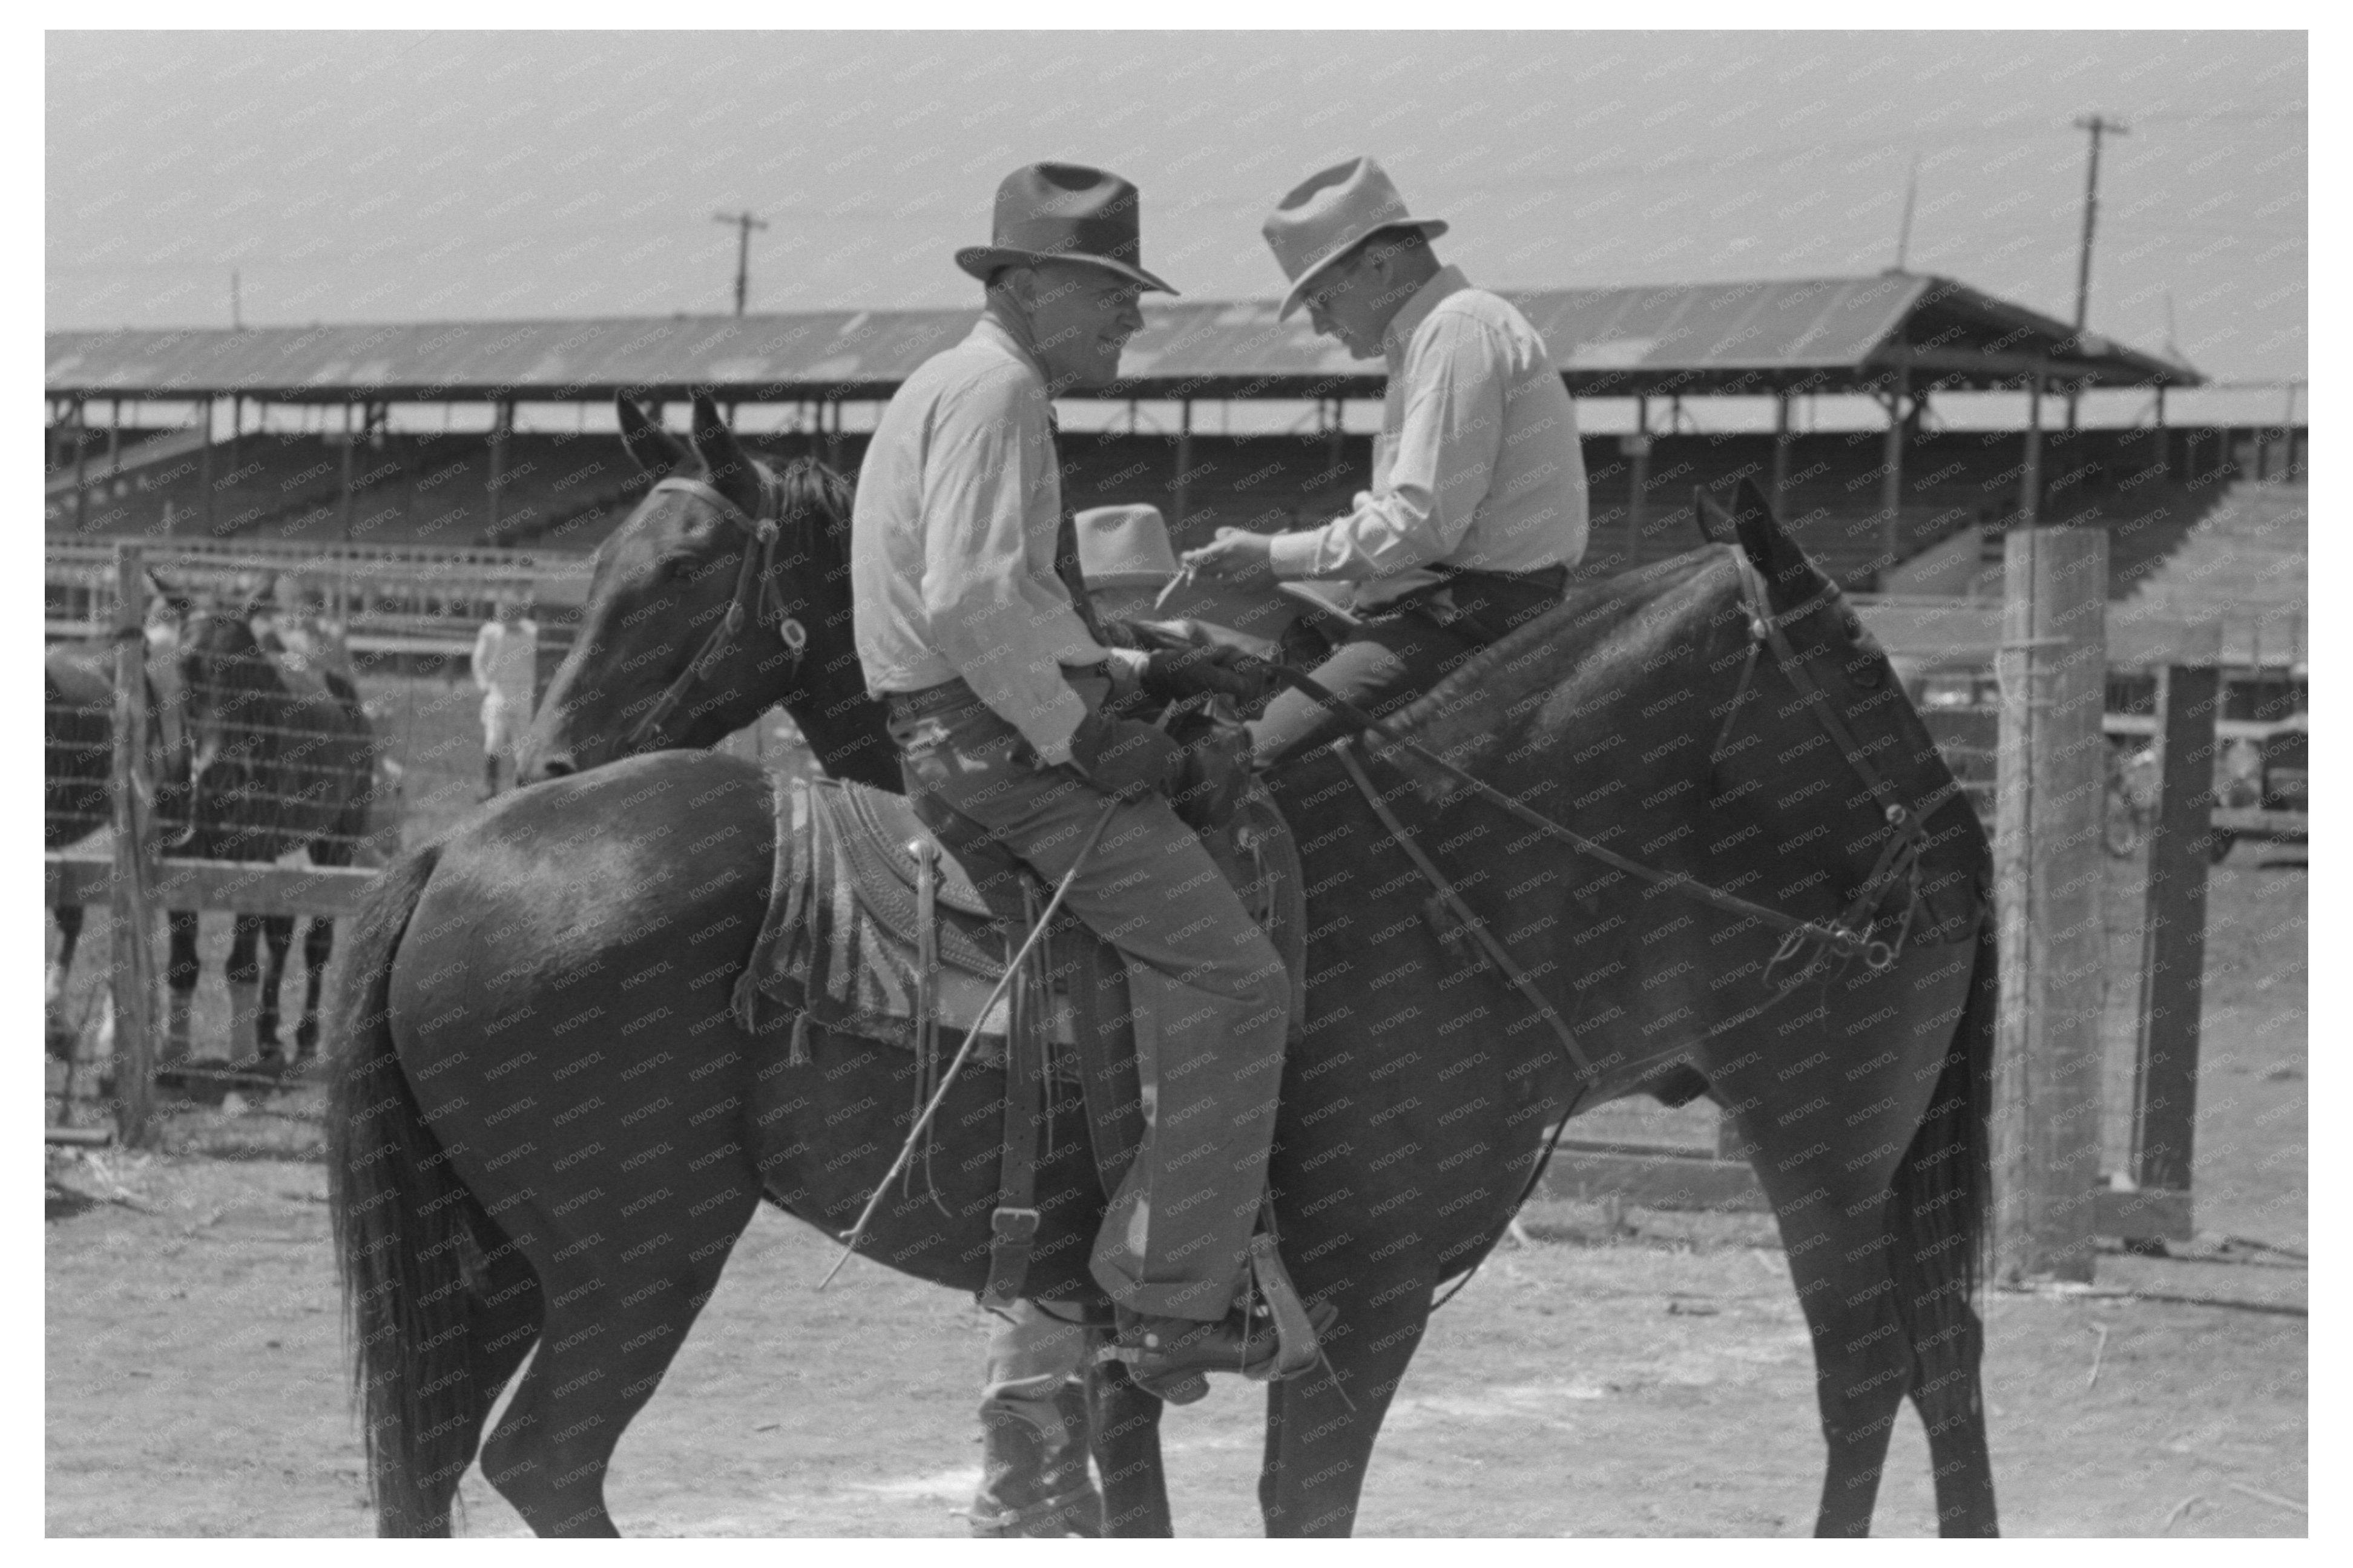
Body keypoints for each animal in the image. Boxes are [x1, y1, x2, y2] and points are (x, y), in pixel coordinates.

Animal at [322, 398, 1995, 1535]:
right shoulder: (1339, 1312)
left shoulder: (1239, 1318)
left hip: (1827, 1134)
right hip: (615, 1255)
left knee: (1890, 1368)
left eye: (682, 573)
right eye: (1863, 665)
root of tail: (454, 854)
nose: (1958, 844)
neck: (1448, 870)